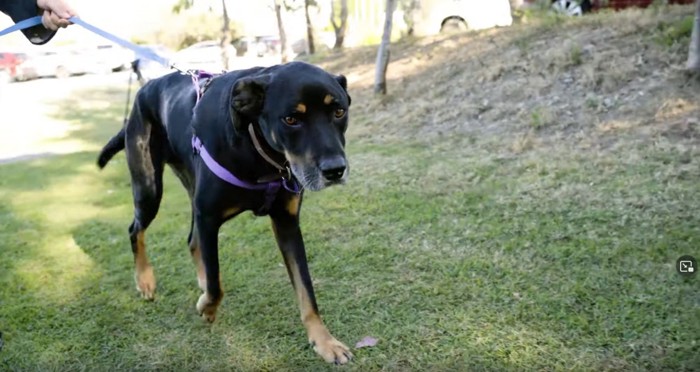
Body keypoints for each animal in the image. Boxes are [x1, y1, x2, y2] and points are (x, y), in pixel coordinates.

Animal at [97, 61, 350, 364]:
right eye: (291, 119)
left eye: (339, 112)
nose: (335, 170)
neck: (258, 152)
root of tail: (146, 87)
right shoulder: (209, 217)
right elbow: (217, 283)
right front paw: (207, 307)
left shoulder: (287, 223)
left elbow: (306, 290)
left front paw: (324, 341)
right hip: (149, 188)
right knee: (136, 230)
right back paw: (145, 280)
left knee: (191, 240)